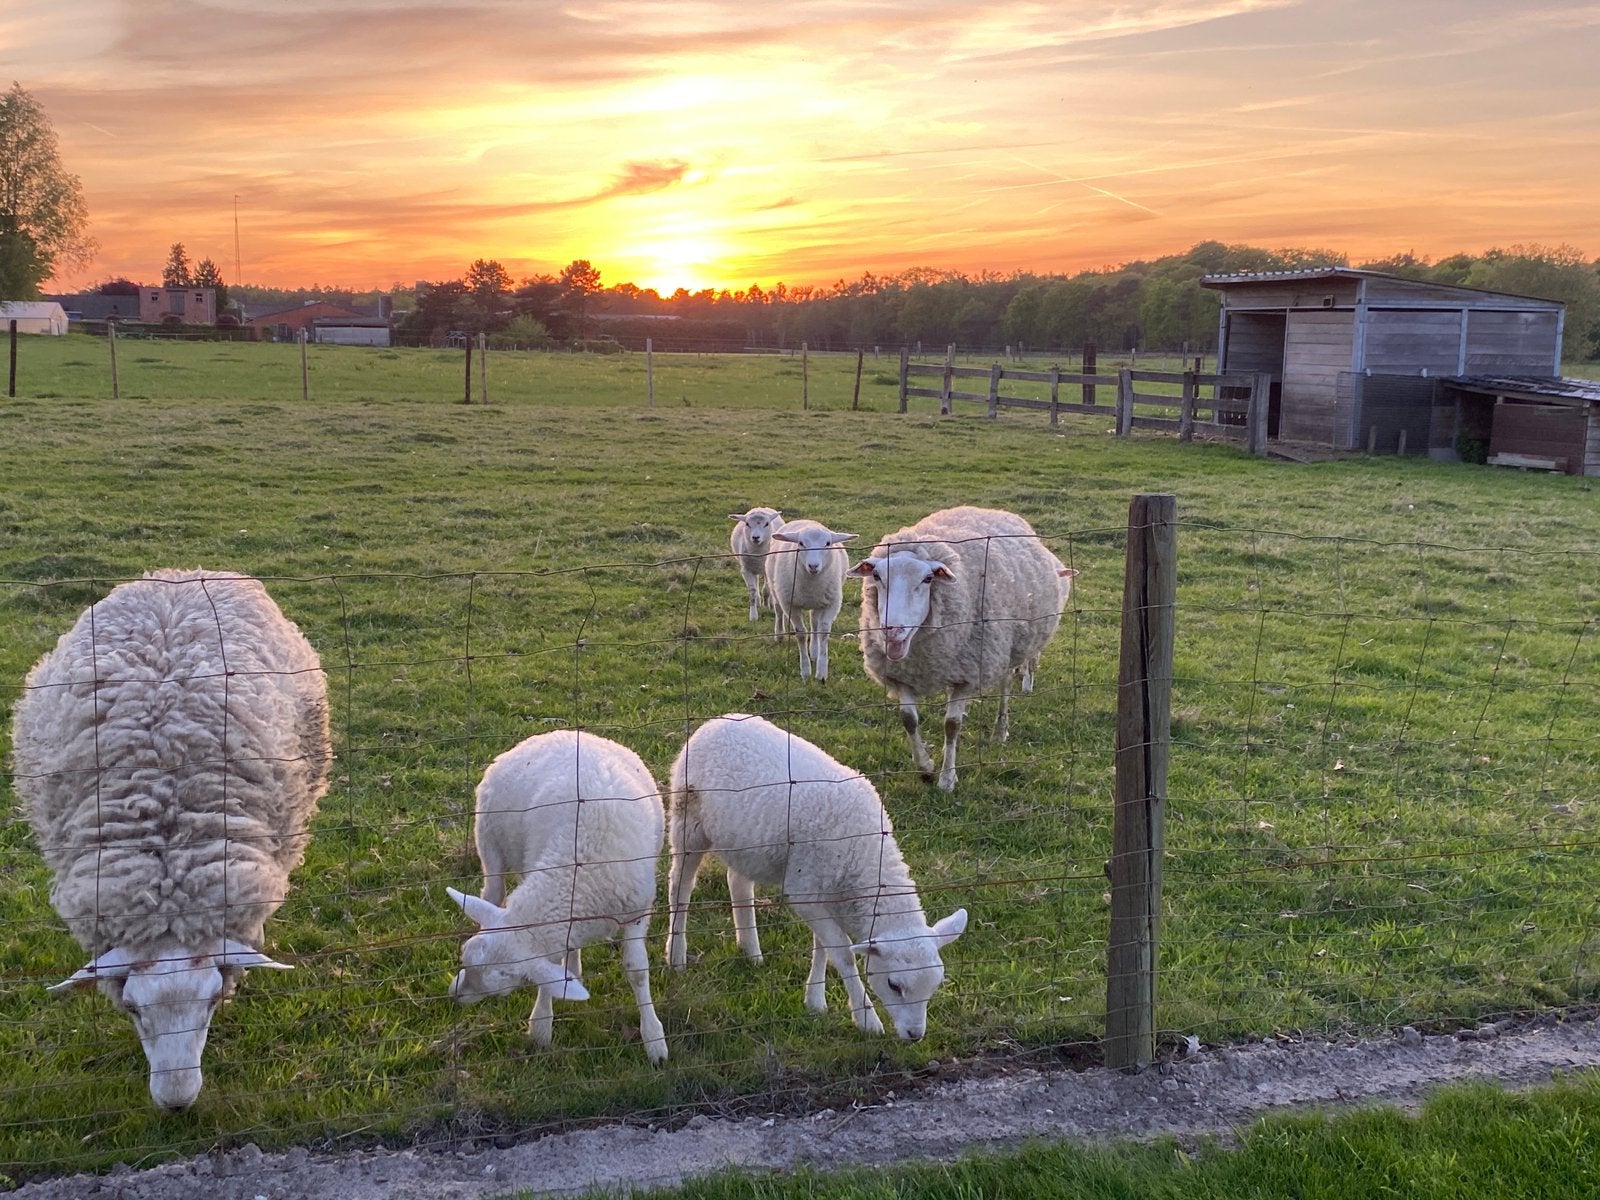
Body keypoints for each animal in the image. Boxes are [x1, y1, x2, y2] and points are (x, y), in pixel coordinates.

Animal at [446, 729, 668, 1064]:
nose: (455, 994)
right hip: (489, 842)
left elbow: (637, 971)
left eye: (508, 978)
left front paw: (654, 1037)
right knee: (493, 892)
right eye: (465, 955)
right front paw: (541, 1025)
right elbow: (551, 964)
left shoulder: (636, 911)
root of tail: (559, 732)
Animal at [665, 713, 966, 1041]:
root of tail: (716, 722)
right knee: (680, 885)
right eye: (894, 985)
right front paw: (866, 1018)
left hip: (743, 841)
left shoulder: (829, 892)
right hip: (688, 820)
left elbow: (823, 946)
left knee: (738, 882)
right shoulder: (805, 891)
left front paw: (815, 1000)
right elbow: (842, 953)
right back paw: (676, 955)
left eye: (935, 985)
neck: (865, 857)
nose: (915, 1035)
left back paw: (750, 950)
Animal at [763, 519, 857, 682]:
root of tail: (805, 520)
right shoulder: (790, 604)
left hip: (818, 602)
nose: (813, 566)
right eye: (801, 543)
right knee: (778, 610)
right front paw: (806, 671)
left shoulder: (832, 603)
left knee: (814, 622)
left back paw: (814, 651)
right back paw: (779, 634)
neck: (811, 584)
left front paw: (821, 672)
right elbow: (801, 634)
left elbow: (823, 632)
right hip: (776, 588)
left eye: (828, 543)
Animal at [849, 506, 1063, 791]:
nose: (892, 631)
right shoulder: (901, 674)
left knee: (1005, 686)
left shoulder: (966, 674)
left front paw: (947, 779)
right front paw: (926, 768)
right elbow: (908, 719)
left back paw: (1000, 730)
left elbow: (952, 724)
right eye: (876, 576)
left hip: (1006, 649)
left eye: (928, 579)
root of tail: (992, 509)